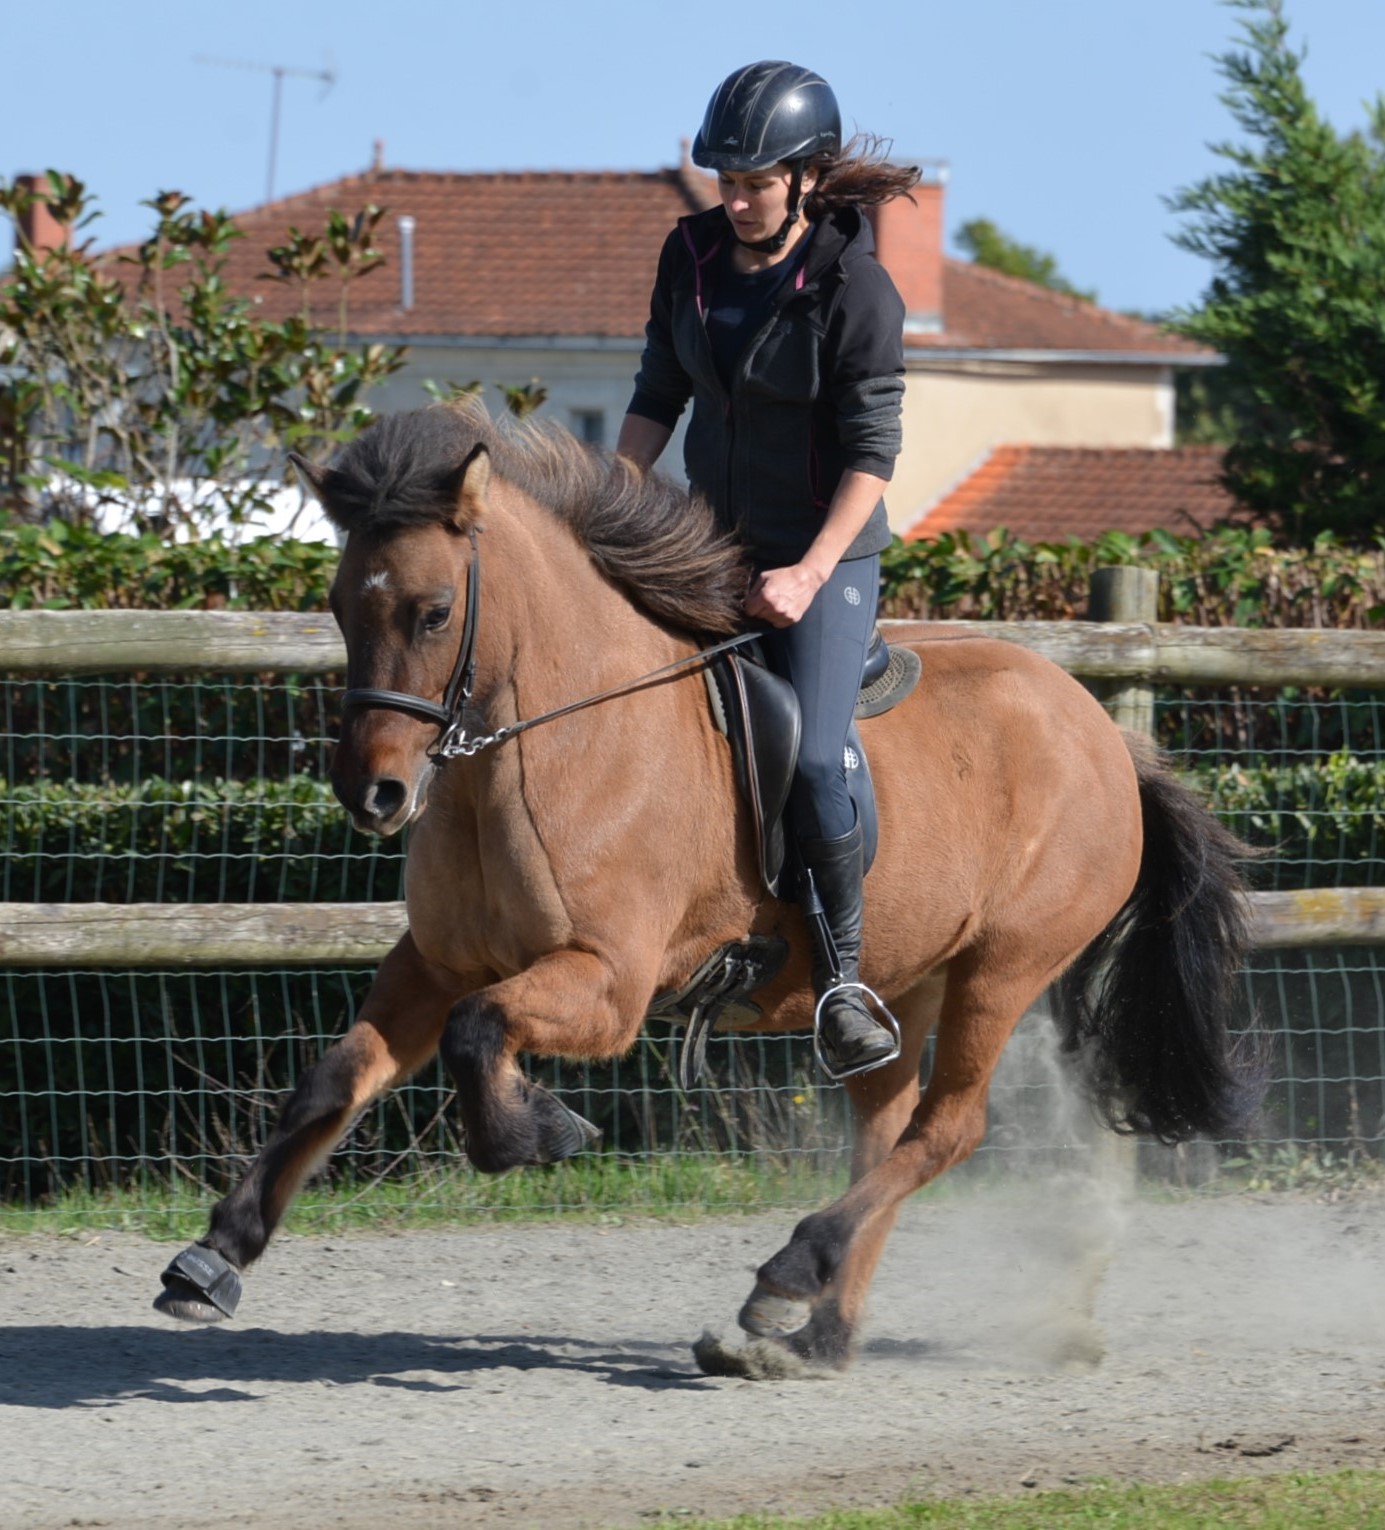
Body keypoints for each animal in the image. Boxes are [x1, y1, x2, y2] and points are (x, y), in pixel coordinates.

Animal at [151, 400, 1267, 1370]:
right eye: (342, 607)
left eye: (432, 613)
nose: (374, 792)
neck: (548, 743)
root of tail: (1105, 735)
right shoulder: (433, 961)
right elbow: (337, 1075)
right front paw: (215, 1254)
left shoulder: (607, 984)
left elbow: (478, 1035)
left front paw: (539, 1131)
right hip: (895, 983)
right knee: (888, 1129)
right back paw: (809, 1333)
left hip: (1004, 968)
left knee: (947, 1128)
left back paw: (790, 1272)